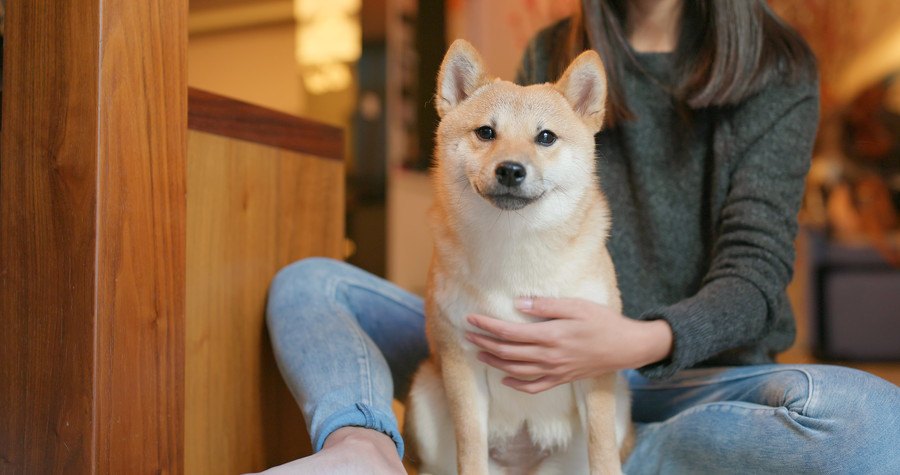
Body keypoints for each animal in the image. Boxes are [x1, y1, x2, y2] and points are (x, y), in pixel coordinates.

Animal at [408, 41, 632, 475]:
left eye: (545, 137)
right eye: (486, 132)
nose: (510, 170)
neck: (517, 250)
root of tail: (523, 465)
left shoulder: (593, 361)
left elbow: (602, 451)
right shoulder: (461, 361)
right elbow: (470, 446)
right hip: (426, 392)